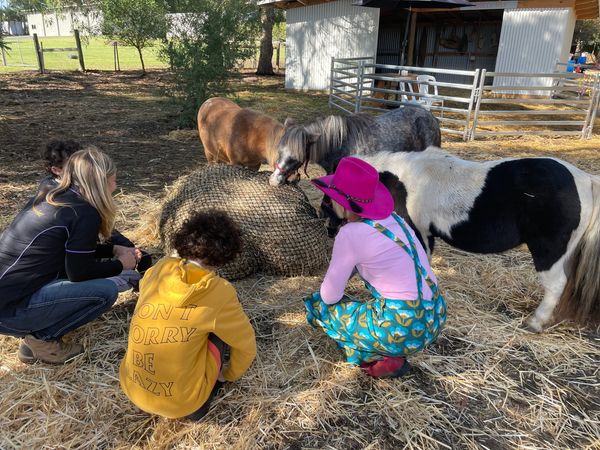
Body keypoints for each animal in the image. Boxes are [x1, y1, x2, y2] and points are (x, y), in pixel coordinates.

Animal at [358, 147, 596, 330]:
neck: (399, 180)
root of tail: (586, 180)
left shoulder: (419, 233)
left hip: (548, 251)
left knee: (556, 285)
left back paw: (535, 323)